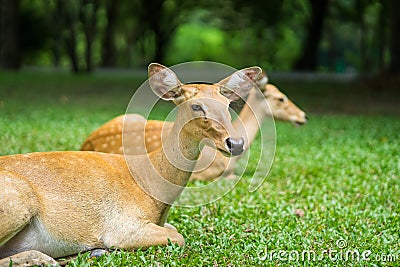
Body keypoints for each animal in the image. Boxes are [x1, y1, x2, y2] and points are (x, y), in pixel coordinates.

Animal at [0, 63, 262, 266]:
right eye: (196, 106)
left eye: (228, 105)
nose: (236, 143)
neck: (152, 188)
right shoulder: (122, 226)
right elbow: (178, 237)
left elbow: (175, 231)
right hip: (17, 199)